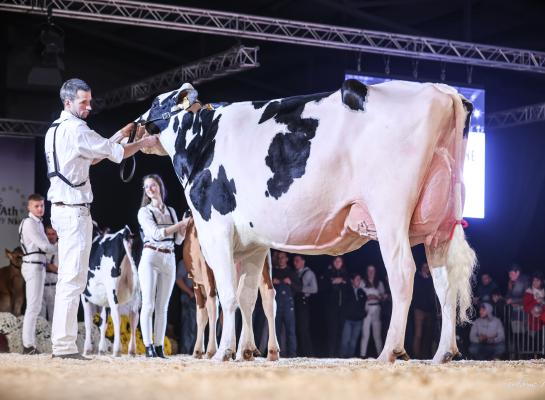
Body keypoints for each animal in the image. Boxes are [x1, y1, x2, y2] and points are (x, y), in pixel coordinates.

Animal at [81, 225, 141, 356]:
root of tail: (124, 233)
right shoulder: (105, 300)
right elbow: (103, 322)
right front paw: (101, 349)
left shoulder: (84, 295)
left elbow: (88, 321)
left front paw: (87, 349)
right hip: (136, 291)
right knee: (134, 316)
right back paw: (132, 350)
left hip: (112, 288)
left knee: (117, 316)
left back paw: (117, 350)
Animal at [137, 79, 476, 364]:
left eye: (154, 102)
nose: (137, 124)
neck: (203, 137)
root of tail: (443, 90)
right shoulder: (252, 244)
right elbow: (247, 296)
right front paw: (244, 352)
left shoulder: (215, 227)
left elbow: (228, 295)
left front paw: (223, 353)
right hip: (441, 224)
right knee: (445, 284)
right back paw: (443, 353)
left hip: (390, 213)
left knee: (403, 273)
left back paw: (389, 352)